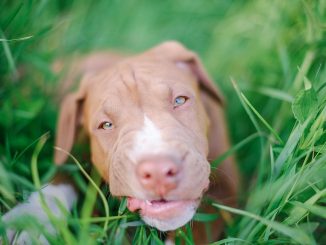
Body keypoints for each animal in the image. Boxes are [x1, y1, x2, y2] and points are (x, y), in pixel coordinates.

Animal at [2, 41, 239, 244]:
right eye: (106, 125)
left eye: (180, 100)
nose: (158, 171)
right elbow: (64, 175)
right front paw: (29, 221)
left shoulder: (226, 189)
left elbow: (202, 226)